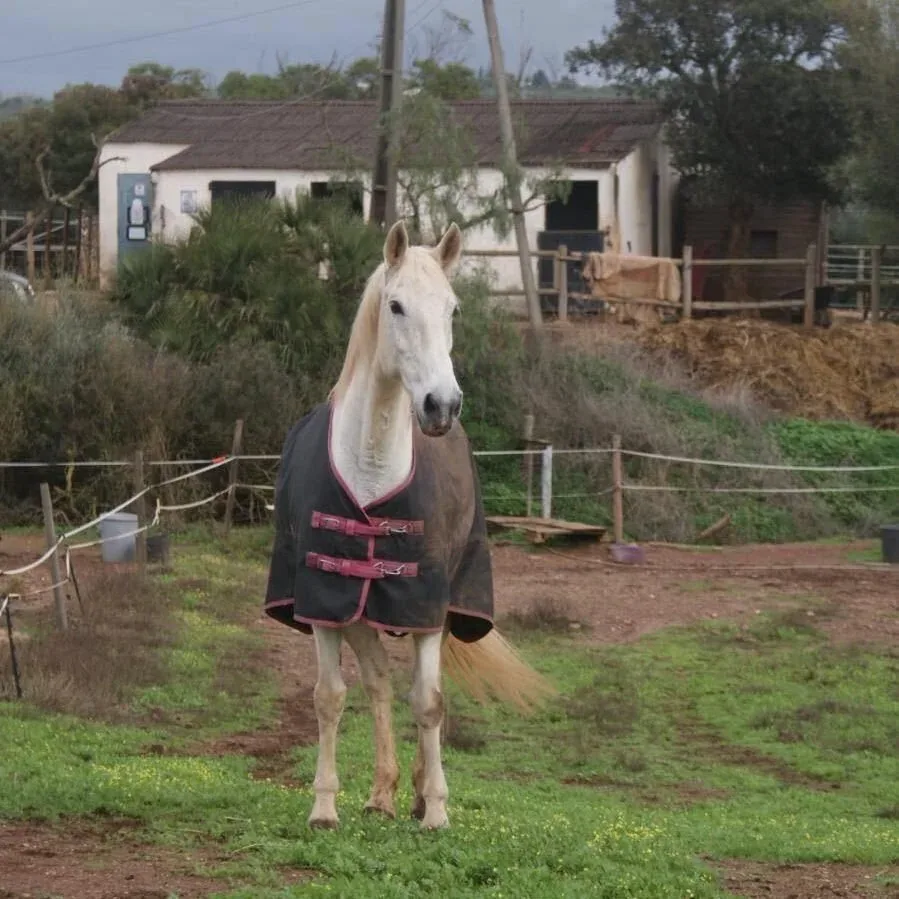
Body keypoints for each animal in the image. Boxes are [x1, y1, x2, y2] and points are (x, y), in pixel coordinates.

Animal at [264, 220, 554, 831]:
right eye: (396, 305)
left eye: (452, 308)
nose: (441, 405)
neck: (372, 465)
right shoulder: (324, 600)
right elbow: (331, 696)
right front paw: (324, 805)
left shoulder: (424, 605)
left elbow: (429, 702)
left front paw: (437, 808)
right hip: (357, 613)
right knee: (376, 681)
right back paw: (381, 793)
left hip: (439, 613)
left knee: (419, 693)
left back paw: (417, 792)